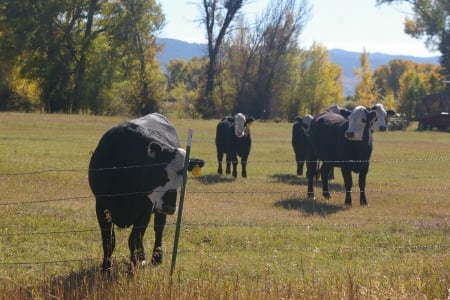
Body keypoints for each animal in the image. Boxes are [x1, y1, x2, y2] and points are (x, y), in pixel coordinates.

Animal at [88, 112, 204, 272]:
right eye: (161, 173)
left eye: (183, 179)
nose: (170, 207)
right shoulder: (101, 205)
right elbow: (109, 242)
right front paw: (106, 270)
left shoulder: (146, 208)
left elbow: (134, 240)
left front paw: (132, 271)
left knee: (158, 229)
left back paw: (155, 258)